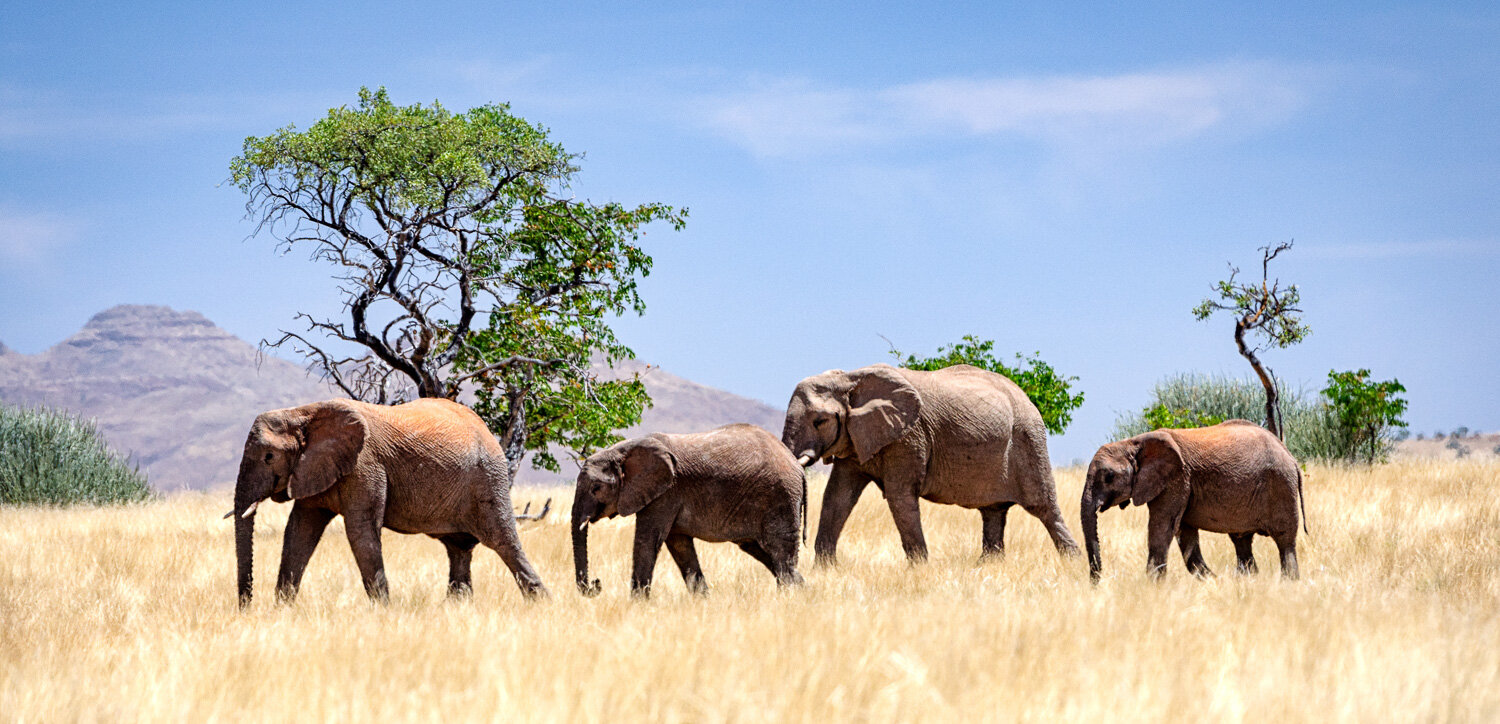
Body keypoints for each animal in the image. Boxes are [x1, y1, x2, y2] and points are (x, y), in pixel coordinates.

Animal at [225, 395, 549, 605]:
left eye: (269, 457)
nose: (246, 607)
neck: (303, 412)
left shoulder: (365, 464)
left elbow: (360, 530)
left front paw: (383, 611)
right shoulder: (313, 468)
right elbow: (300, 531)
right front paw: (283, 610)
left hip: (489, 476)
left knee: (502, 540)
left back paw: (541, 604)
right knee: (458, 548)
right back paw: (458, 607)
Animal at [570, 422, 810, 596]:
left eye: (596, 488)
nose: (596, 583)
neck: (623, 450)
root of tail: (798, 467)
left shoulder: (666, 492)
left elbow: (647, 540)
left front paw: (636, 605)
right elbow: (679, 545)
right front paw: (703, 602)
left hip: (780, 497)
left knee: (780, 551)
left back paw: (788, 598)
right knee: (762, 550)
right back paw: (802, 592)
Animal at [786, 365, 1080, 563]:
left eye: (820, 421)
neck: (849, 378)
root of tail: (1028, 398)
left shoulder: (909, 437)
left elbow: (899, 496)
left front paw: (919, 569)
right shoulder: (857, 437)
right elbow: (837, 496)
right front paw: (826, 569)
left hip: (1029, 439)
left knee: (1044, 508)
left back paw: (1073, 562)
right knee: (993, 512)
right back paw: (987, 567)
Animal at [1086, 419, 1308, 584]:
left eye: (1109, 477)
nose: (1096, 582)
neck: (1133, 442)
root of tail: (1291, 457)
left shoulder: (1176, 479)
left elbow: (1162, 527)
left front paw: (1152, 587)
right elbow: (1185, 535)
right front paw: (1213, 582)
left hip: (1281, 486)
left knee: (1284, 541)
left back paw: (1288, 583)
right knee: (1242, 541)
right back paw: (1248, 580)